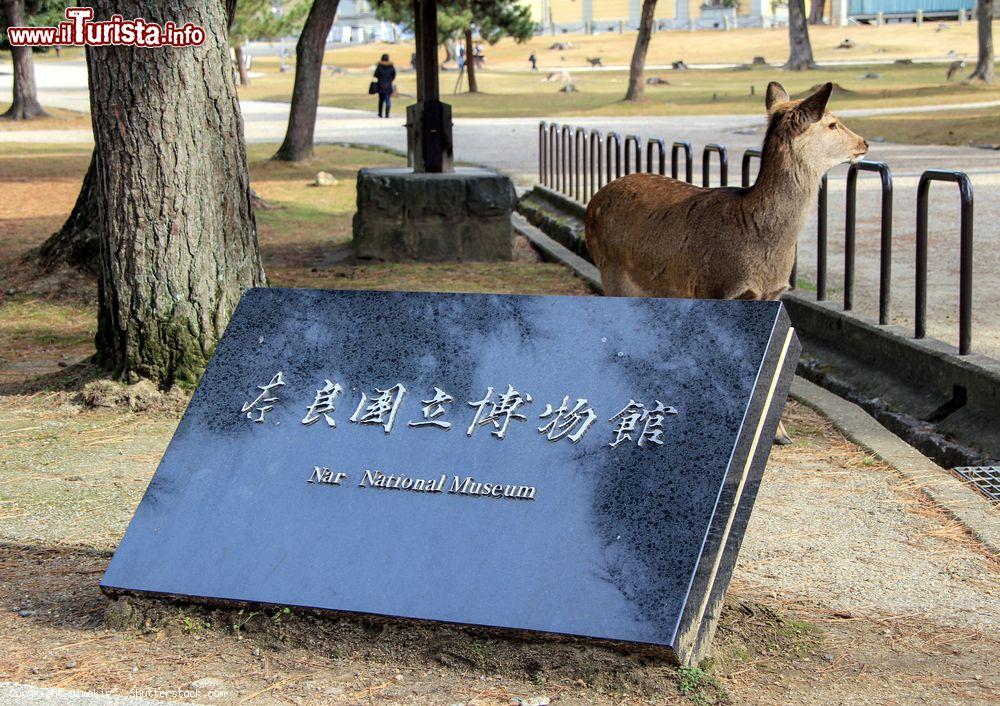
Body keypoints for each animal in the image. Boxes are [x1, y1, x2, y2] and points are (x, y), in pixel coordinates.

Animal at [584, 82, 868, 440]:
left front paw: (778, 432)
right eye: (832, 123)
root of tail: (593, 200)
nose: (864, 142)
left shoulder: (771, 294)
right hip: (610, 268)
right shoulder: (715, 288)